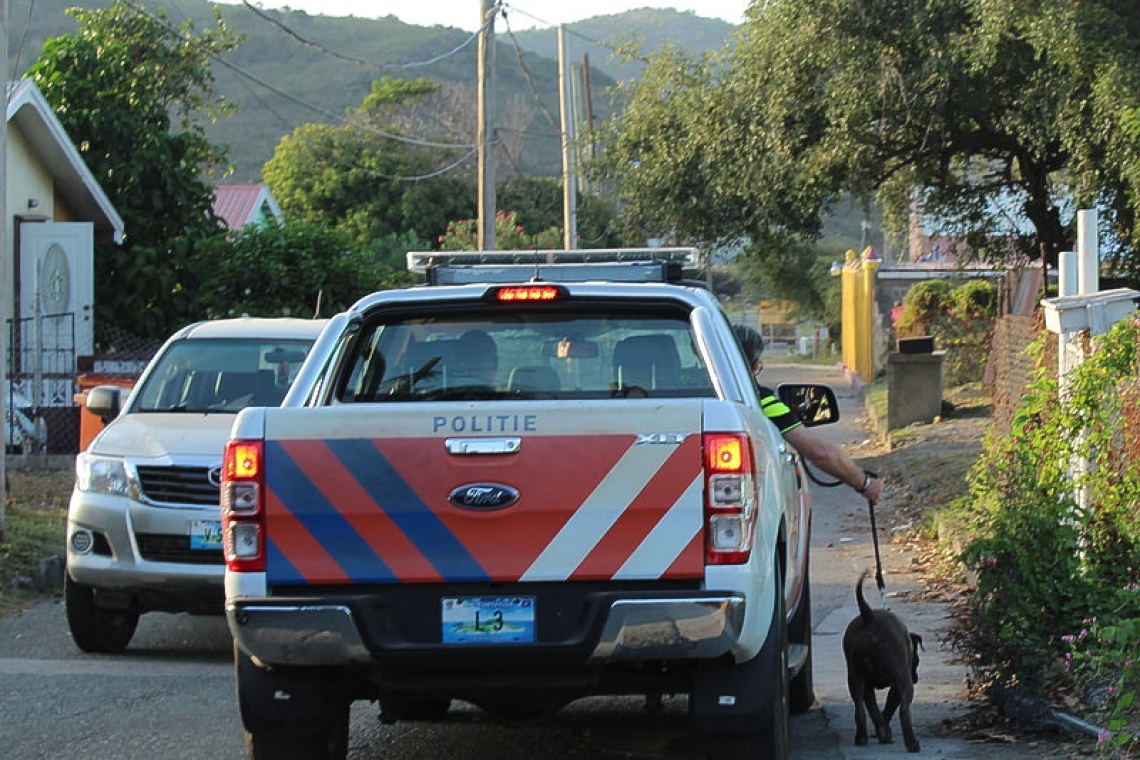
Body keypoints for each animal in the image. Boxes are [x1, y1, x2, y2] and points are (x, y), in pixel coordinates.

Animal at [843, 567, 921, 752]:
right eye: (917, 661)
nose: (916, 678)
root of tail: (868, 616)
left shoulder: (867, 686)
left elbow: (875, 711)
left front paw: (883, 732)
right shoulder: (897, 685)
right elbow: (889, 708)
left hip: (855, 677)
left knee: (859, 709)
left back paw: (863, 737)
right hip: (902, 681)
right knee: (904, 711)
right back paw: (912, 743)